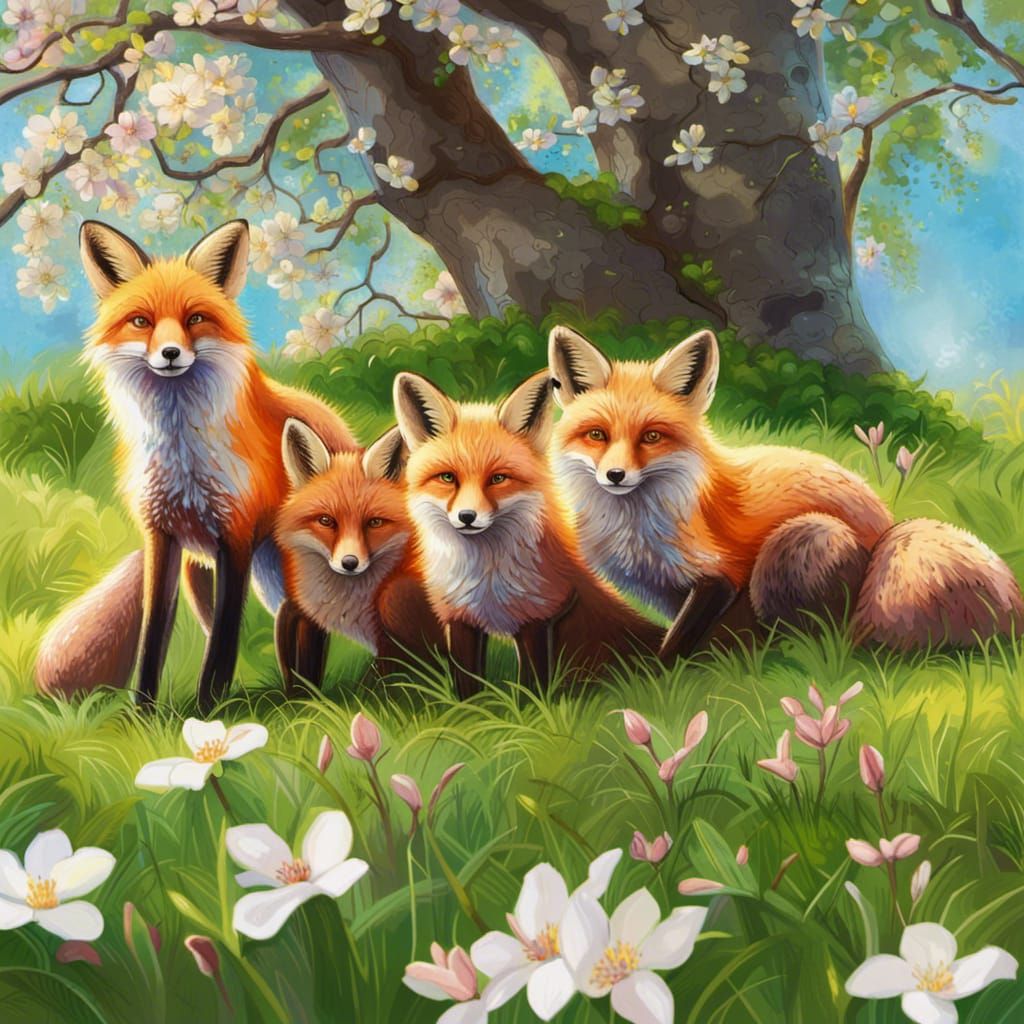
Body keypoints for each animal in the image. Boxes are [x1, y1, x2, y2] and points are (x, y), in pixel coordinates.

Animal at [36, 219, 357, 709]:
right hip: (219, 572)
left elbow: (222, 642)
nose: (170, 353)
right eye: (142, 321)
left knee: (305, 625)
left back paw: (304, 700)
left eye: (195, 319)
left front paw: (209, 711)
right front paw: (143, 712)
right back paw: (296, 696)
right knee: (287, 621)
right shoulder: (162, 536)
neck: (182, 458)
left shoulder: (236, 537)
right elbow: (154, 634)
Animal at [393, 369, 662, 697]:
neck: (487, 577)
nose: (467, 517)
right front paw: (469, 709)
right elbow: (468, 687)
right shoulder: (460, 616)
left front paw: (530, 709)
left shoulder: (542, 612)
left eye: (498, 479)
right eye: (447, 478)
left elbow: (531, 688)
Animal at [548, 325, 1024, 656]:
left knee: (820, 642)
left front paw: (662, 675)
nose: (615, 475)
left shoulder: (719, 574)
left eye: (651, 436)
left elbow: (677, 643)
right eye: (597, 434)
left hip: (800, 542)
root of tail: (888, 528)